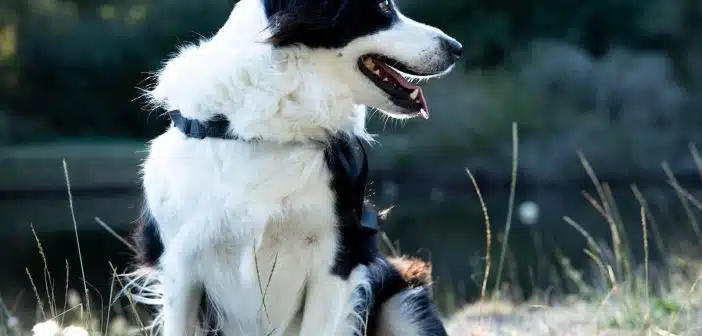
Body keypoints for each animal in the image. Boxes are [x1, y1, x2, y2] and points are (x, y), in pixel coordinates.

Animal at [128, 0, 462, 334]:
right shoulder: (179, 268)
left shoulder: (337, 259)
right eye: (383, 6)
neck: (268, 129)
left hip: (404, 302)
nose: (456, 48)